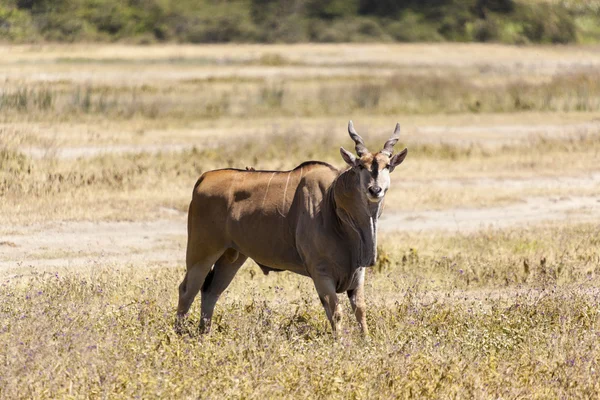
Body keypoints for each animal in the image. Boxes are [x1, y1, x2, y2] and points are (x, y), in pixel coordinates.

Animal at [175, 121, 408, 334]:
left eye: (387, 166)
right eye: (360, 166)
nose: (375, 190)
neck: (333, 203)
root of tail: (204, 178)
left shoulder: (357, 274)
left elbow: (360, 310)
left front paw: (365, 342)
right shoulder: (321, 272)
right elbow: (336, 312)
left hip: (232, 256)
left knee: (211, 291)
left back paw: (205, 334)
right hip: (202, 252)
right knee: (187, 289)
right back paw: (179, 334)